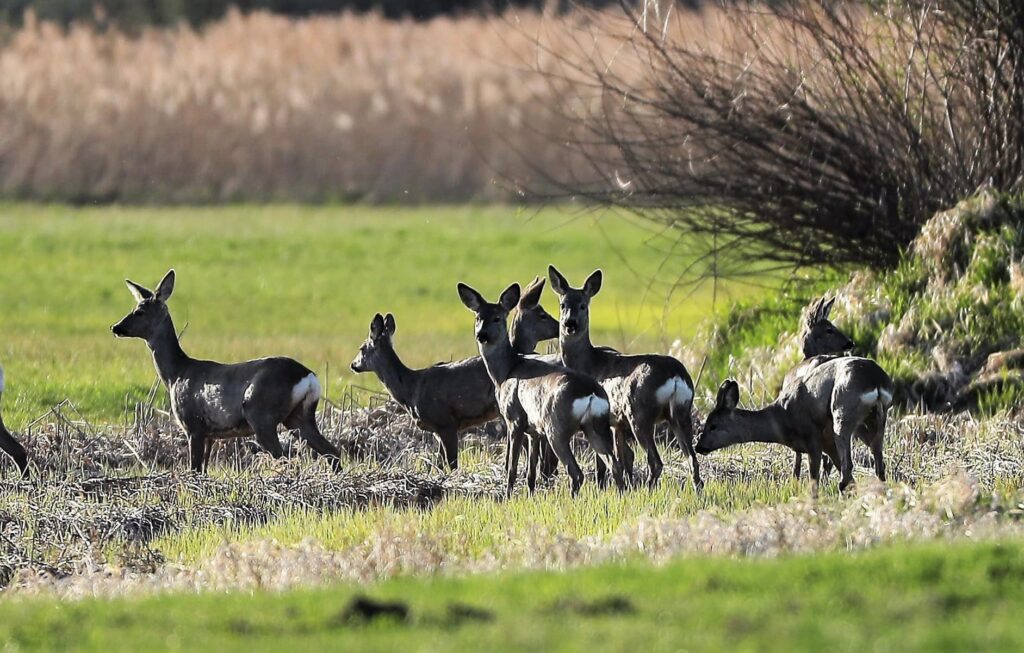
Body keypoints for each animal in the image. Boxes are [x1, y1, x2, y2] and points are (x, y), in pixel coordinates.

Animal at [113, 268, 339, 472]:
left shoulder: (193, 425)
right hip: (299, 416)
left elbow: (194, 469)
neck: (176, 374)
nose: (115, 327)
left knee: (287, 458)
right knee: (332, 451)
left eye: (139, 311)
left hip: (262, 415)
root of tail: (308, 376)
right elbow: (203, 469)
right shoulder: (210, 434)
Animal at [352, 276, 561, 470]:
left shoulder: (446, 422)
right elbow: (440, 464)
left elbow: (451, 464)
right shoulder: (437, 431)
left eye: (361, 348)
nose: (353, 365)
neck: (411, 389)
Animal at [458, 280, 622, 495]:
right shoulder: (534, 431)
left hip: (556, 428)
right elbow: (530, 472)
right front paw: (530, 495)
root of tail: (592, 394)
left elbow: (511, 467)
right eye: (478, 317)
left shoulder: (515, 419)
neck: (506, 371)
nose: (481, 335)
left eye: (497, 318)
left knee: (577, 473)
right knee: (615, 465)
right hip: (596, 426)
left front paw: (507, 496)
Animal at [548, 268, 700, 491]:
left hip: (639, 413)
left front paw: (604, 488)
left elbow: (605, 463)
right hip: (681, 412)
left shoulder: (604, 419)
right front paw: (625, 487)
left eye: (583, 305)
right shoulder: (616, 422)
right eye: (563, 305)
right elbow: (624, 458)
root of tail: (675, 375)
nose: (570, 324)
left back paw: (648, 490)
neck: (588, 362)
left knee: (655, 461)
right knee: (692, 459)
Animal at [700, 356, 892, 493]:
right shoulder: (826, 444)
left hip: (843, 413)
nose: (698, 446)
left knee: (848, 469)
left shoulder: (814, 440)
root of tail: (876, 381)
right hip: (874, 422)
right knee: (878, 465)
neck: (782, 418)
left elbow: (814, 482)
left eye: (712, 425)